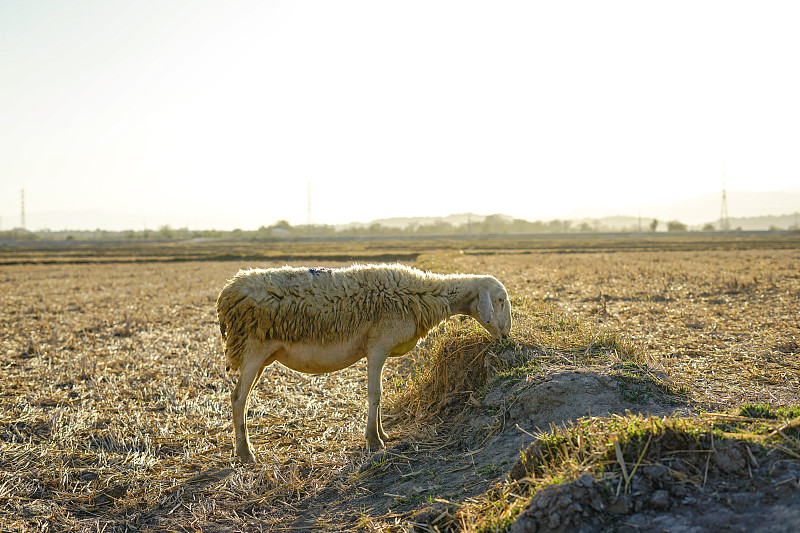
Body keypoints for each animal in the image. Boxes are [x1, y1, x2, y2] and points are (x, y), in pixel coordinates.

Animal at [216, 262, 510, 462]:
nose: (507, 335)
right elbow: (375, 394)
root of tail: (228, 291)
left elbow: (379, 394)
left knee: (240, 397)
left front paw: (382, 434)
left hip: (261, 357)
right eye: (500, 300)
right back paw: (245, 453)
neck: (425, 297)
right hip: (252, 349)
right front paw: (373, 441)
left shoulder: (379, 351)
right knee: (239, 399)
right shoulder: (377, 347)